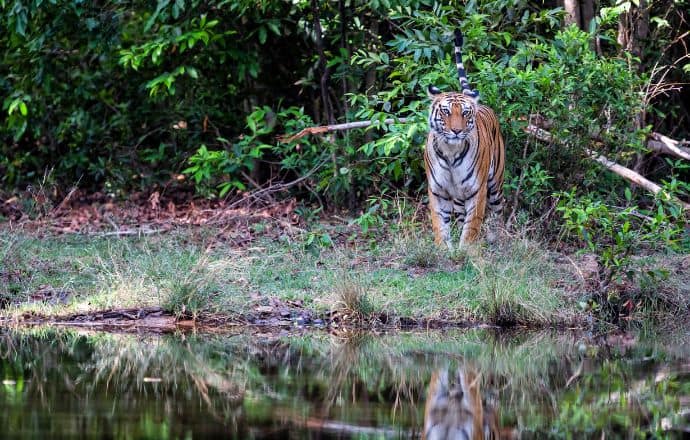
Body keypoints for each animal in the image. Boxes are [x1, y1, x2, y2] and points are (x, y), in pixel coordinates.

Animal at [422, 28, 502, 248]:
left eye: (465, 113)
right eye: (446, 112)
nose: (456, 131)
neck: (451, 151)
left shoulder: (477, 190)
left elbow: (472, 224)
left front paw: (466, 248)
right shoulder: (437, 190)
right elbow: (439, 222)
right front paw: (443, 248)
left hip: (495, 183)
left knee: (498, 212)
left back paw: (497, 238)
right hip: (458, 196)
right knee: (458, 215)